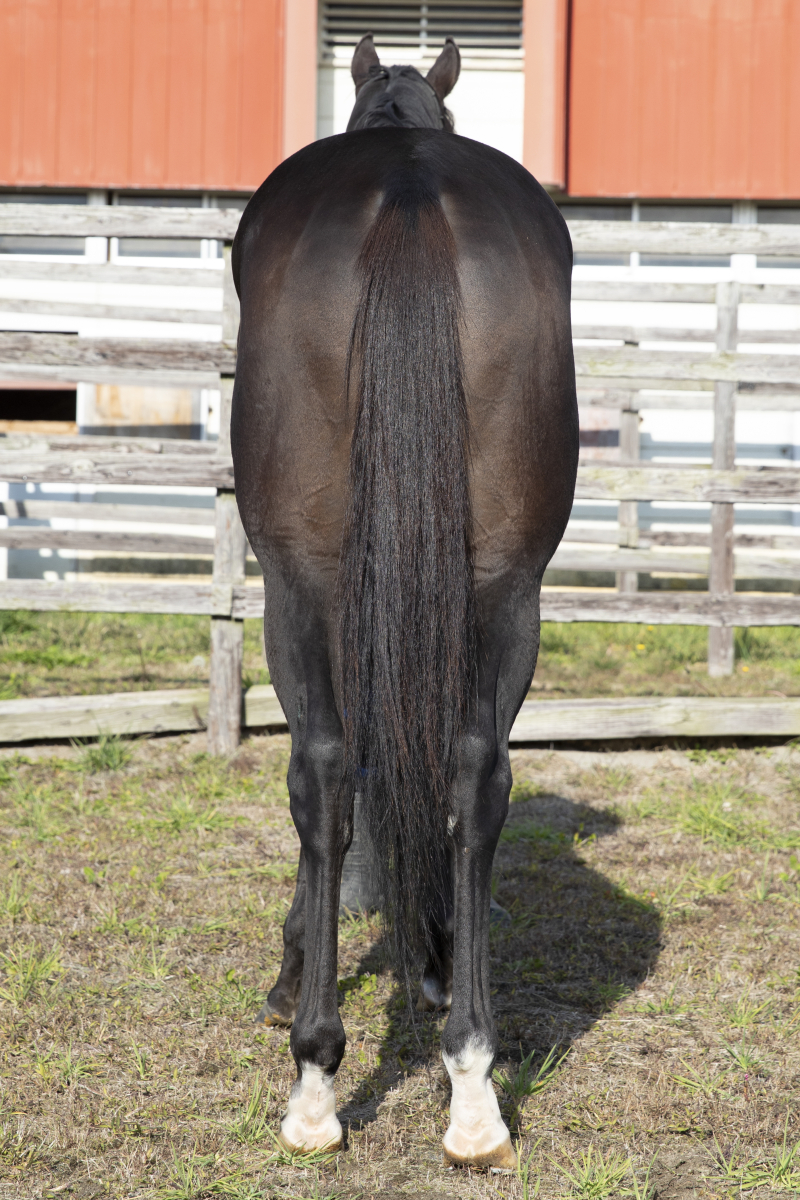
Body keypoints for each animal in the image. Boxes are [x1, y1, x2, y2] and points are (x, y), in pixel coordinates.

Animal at [230, 33, 578, 1170]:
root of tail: (410, 188)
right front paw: (430, 959)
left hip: (298, 581)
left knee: (321, 774)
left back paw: (315, 1082)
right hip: (508, 583)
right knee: (476, 776)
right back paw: (472, 1086)